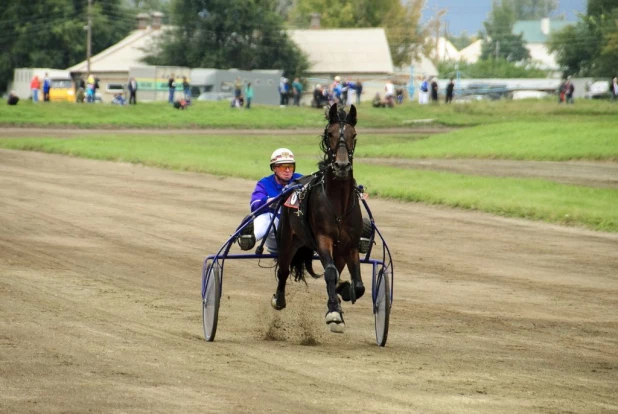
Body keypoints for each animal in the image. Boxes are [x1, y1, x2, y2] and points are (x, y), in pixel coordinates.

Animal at [272, 103, 364, 334]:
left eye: (354, 134)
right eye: (330, 133)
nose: (342, 165)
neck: (338, 205)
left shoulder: (350, 245)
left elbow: (357, 285)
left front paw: (343, 294)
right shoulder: (323, 239)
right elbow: (330, 273)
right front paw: (334, 314)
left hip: (338, 252)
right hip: (288, 239)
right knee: (283, 269)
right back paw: (279, 299)